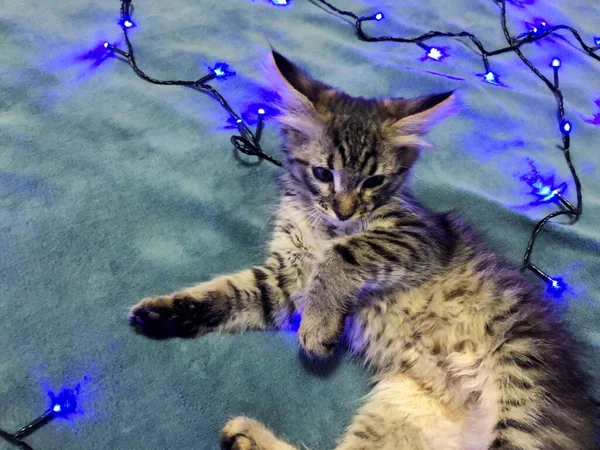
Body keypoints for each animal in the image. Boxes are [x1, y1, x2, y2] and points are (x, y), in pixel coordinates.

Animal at [129, 51, 596, 450]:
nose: (344, 209)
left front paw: (317, 327)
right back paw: (246, 438)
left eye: (373, 181)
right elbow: (232, 292)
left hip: (522, 404)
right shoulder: (285, 276)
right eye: (323, 173)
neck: (325, 227)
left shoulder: (419, 235)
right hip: (402, 407)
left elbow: (344, 254)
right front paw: (166, 313)